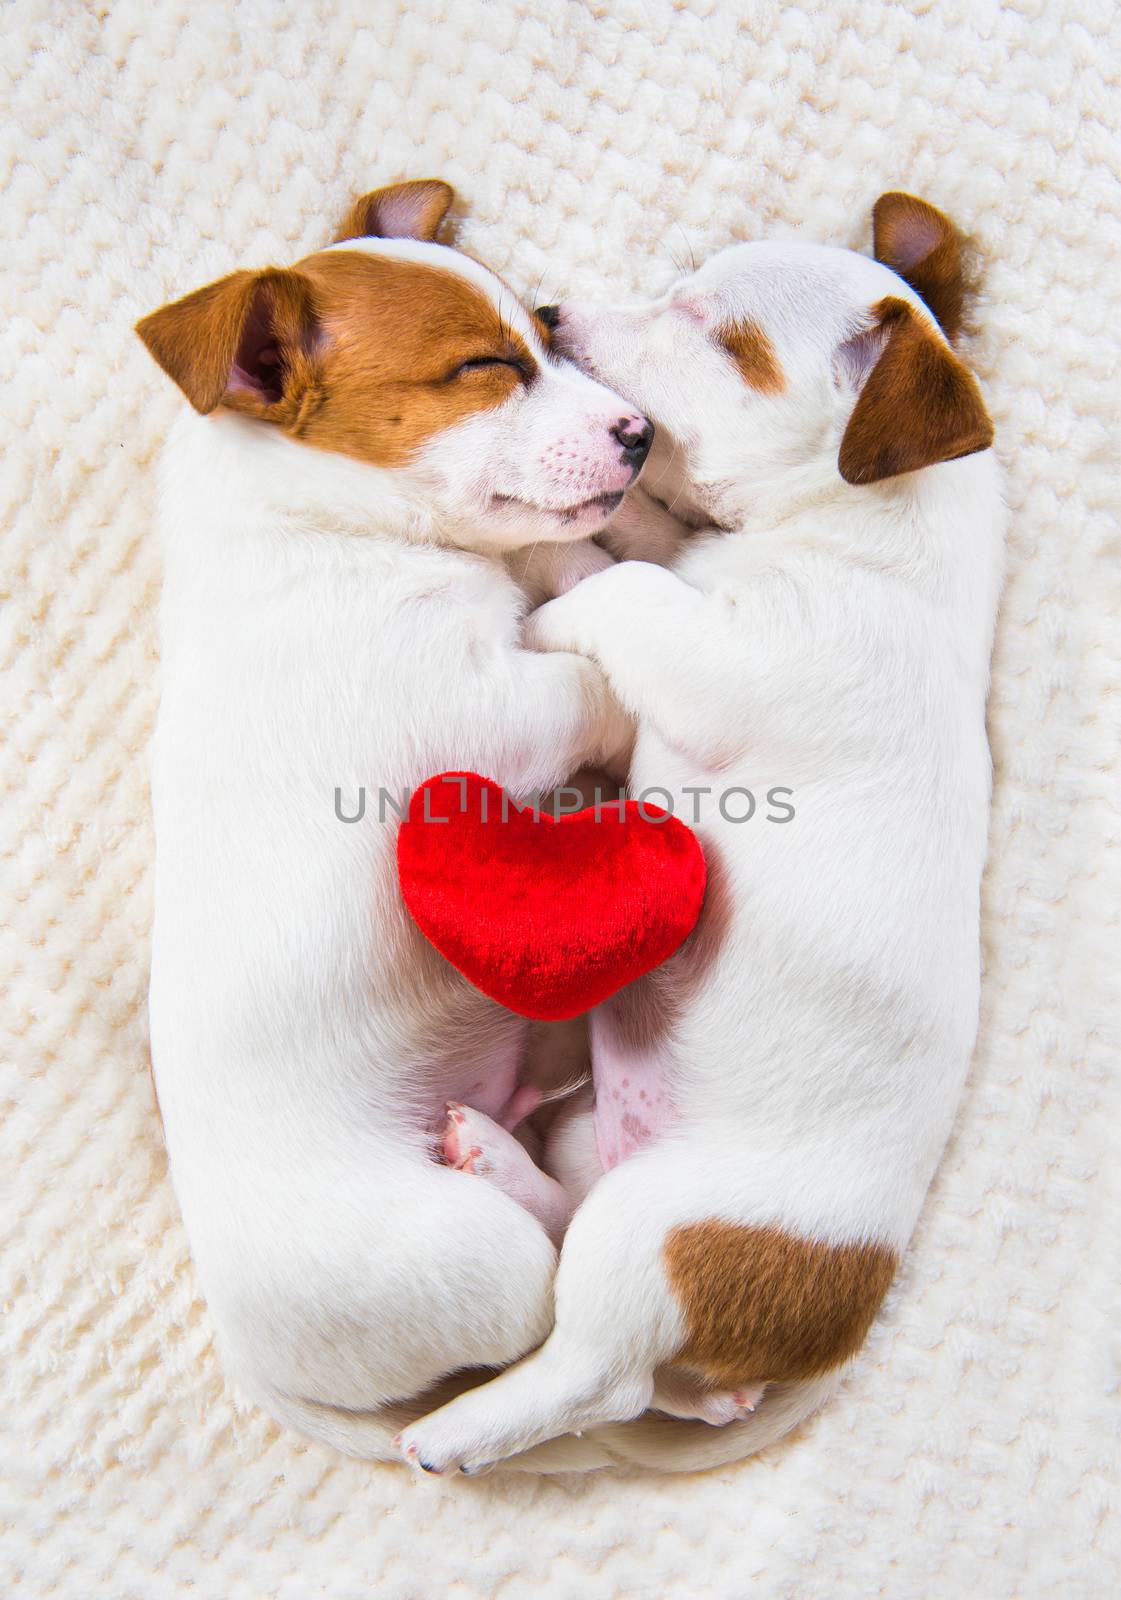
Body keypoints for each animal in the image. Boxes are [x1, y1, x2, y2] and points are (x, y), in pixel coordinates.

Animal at [136, 178, 655, 1465]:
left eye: (540, 334)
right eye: (486, 366)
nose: (640, 432)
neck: (324, 527)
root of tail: (257, 1359)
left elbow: (556, 570)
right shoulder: (478, 717)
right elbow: (578, 680)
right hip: (474, 1259)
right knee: (550, 1281)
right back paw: (506, 1170)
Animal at [398, 190, 1004, 1472]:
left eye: (722, 336)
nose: (549, 312)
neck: (860, 530)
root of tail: (782, 1357)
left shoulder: (729, 659)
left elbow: (622, 590)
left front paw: (554, 592)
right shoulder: (683, 580)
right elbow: (636, 547)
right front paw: (563, 520)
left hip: (654, 1233)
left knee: (596, 1372)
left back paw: (460, 1427)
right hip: (599, 1152)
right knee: (581, 1264)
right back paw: (496, 1161)